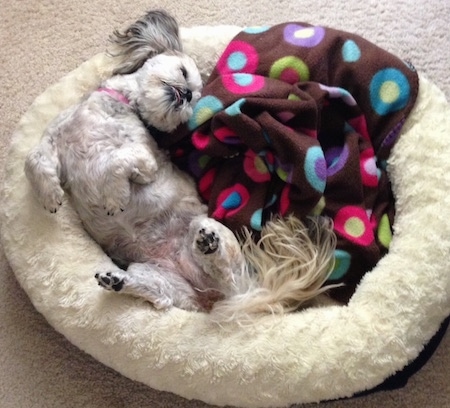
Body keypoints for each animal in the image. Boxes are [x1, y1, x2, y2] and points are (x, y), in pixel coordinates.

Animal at [24, 9, 338, 320]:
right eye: (184, 73)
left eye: (193, 100)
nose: (186, 94)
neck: (118, 105)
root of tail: (212, 299)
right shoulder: (57, 137)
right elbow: (34, 158)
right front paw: (50, 195)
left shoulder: (145, 160)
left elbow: (116, 161)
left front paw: (114, 197)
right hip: (157, 277)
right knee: (160, 296)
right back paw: (118, 280)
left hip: (207, 232)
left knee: (227, 274)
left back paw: (210, 246)